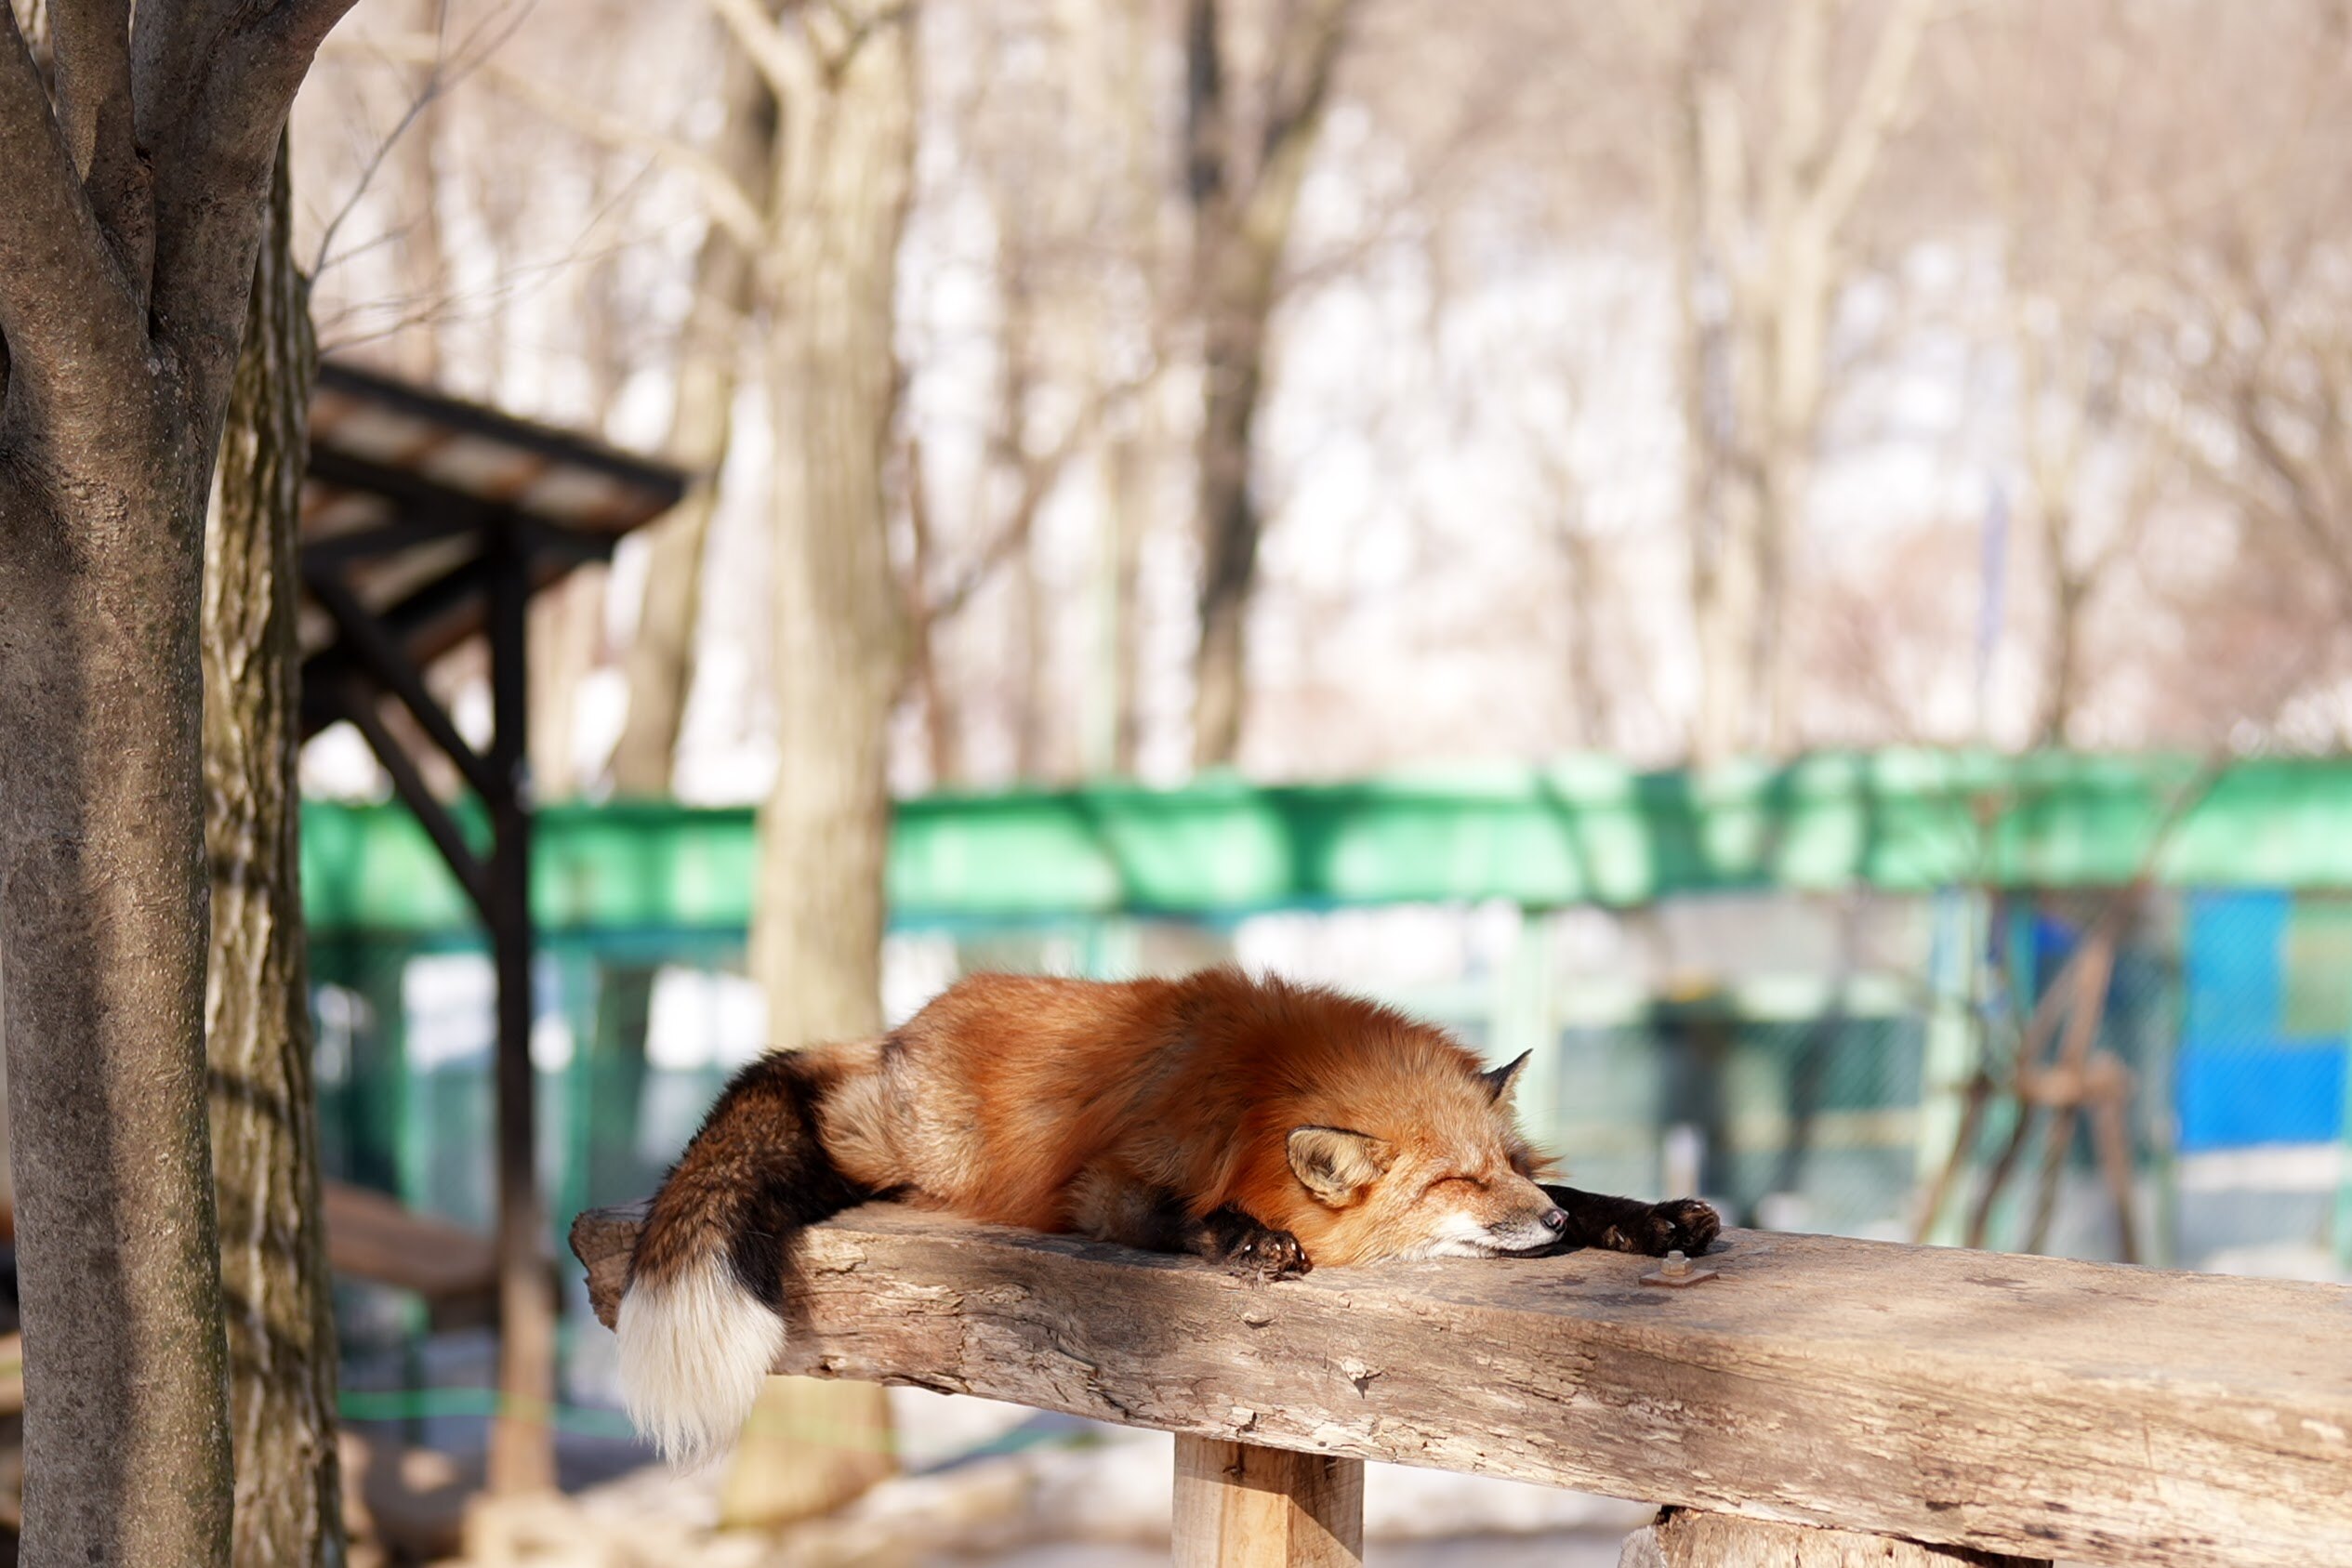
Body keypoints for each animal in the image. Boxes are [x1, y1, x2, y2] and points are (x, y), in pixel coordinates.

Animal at [617, 967, 1720, 1464]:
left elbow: (1591, 1197)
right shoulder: (1105, 1184)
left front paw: (1645, 1217)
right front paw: (1246, 1238)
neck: (1263, 1095)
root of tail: (903, 1030)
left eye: (1506, 1166)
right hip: (918, 1149)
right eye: (1455, 1181)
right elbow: (1174, 1215)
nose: (1543, 1227)